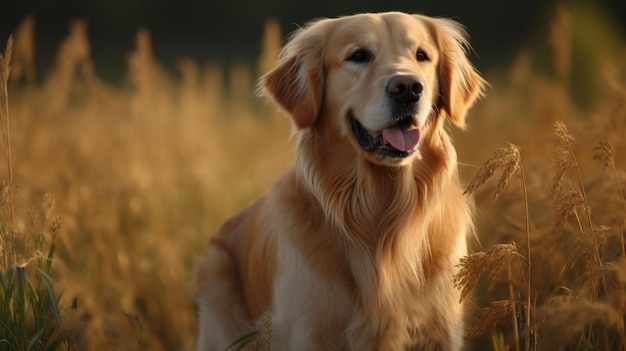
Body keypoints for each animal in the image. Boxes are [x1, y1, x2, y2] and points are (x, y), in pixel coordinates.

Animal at [194, 11, 482, 351]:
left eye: (421, 55)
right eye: (358, 56)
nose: (409, 88)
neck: (380, 215)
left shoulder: (441, 330)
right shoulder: (308, 331)